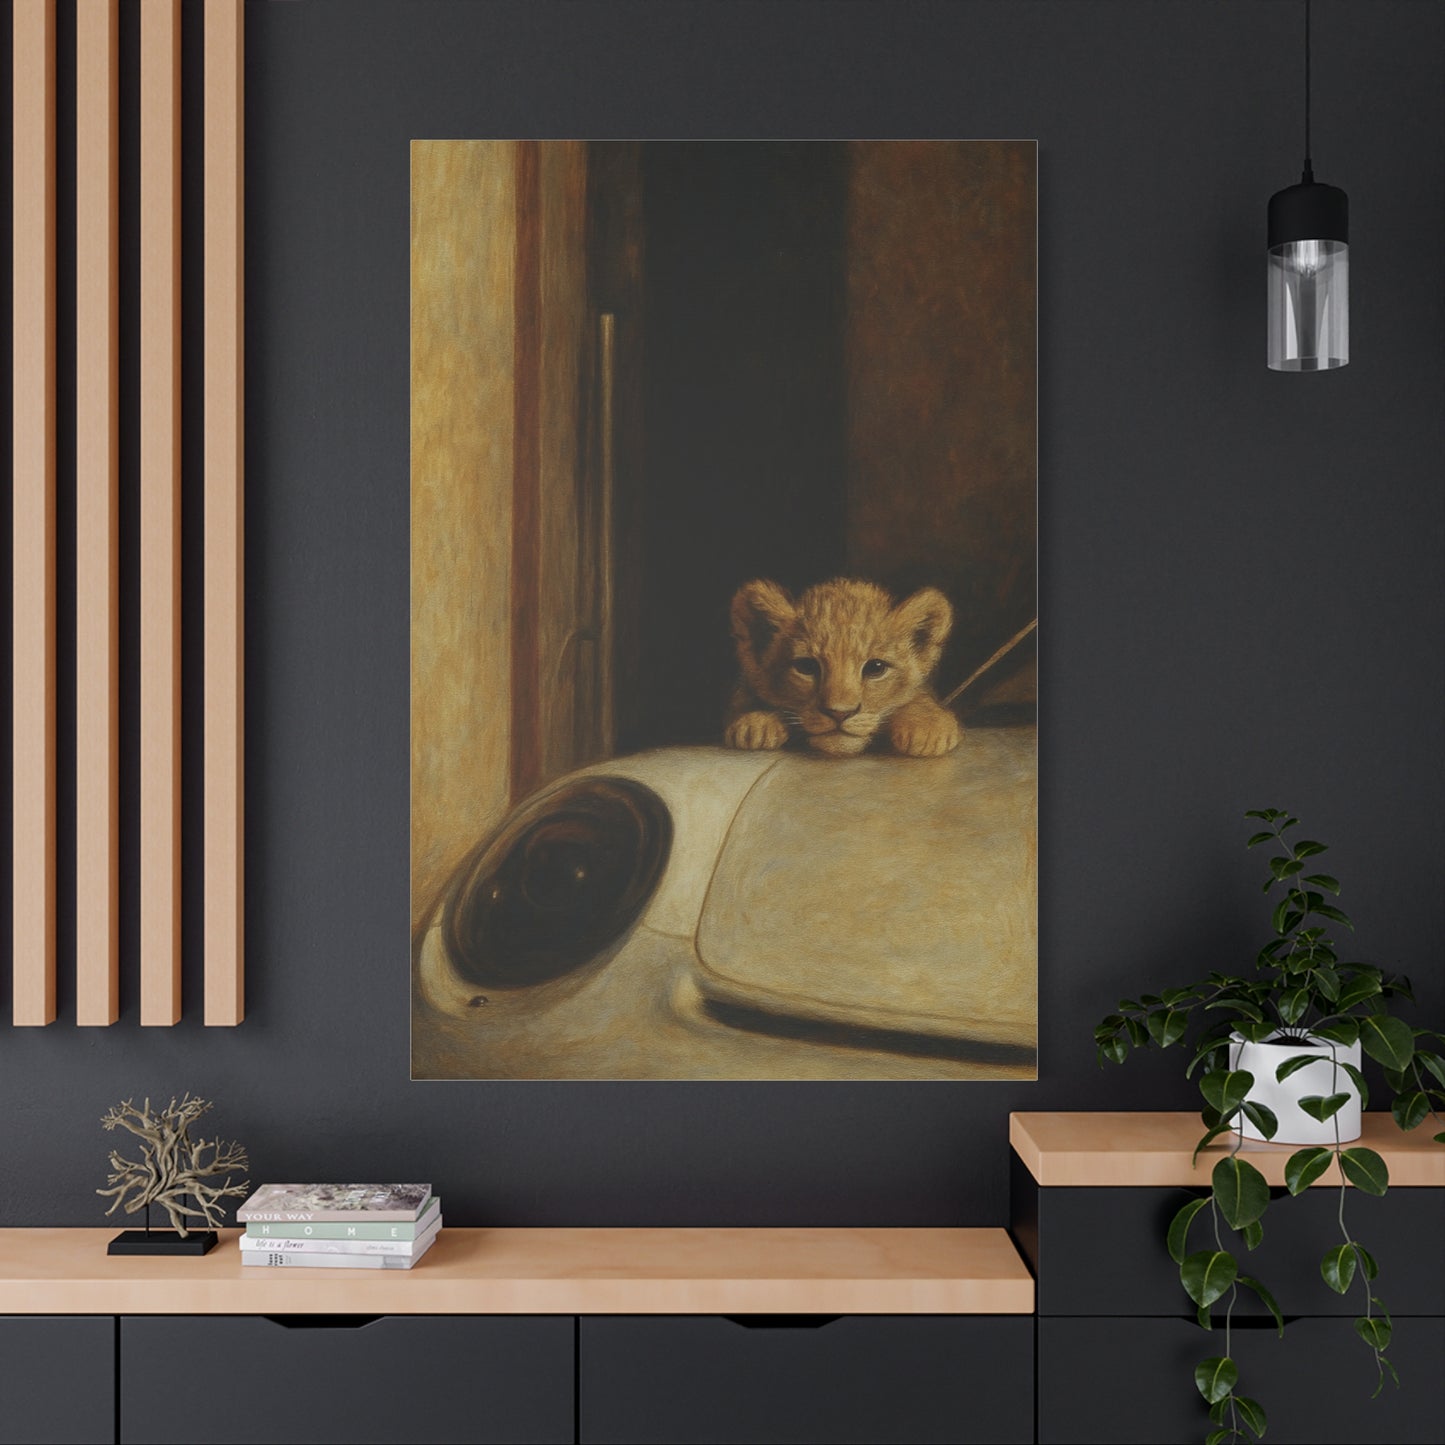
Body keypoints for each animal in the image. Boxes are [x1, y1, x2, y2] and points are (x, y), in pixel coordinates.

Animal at [724, 577, 962, 757]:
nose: (840, 713)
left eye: (875, 668)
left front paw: (927, 728)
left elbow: (917, 696)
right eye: (806, 666)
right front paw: (756, 723)